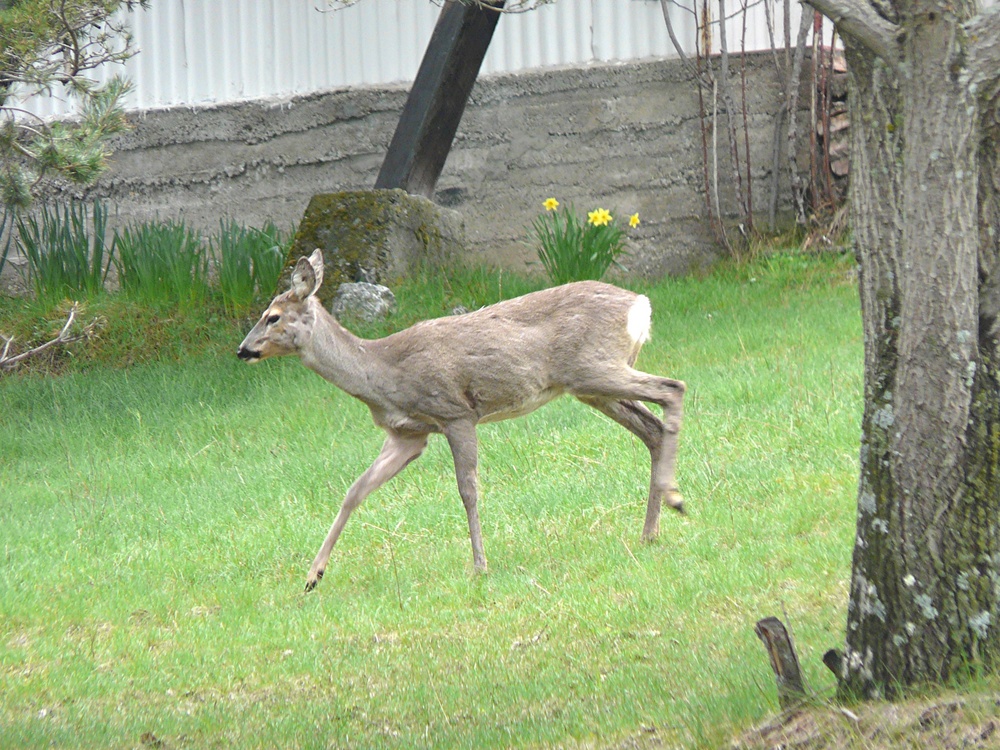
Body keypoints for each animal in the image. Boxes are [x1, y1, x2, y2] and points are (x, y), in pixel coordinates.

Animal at [238, 250, 684, 592]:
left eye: (272, 316)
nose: (243, 350)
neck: (381, 373)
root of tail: (640, 304)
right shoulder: (408, 435)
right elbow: (356, 490)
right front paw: (313, 576)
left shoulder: (455, 412)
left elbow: (468, 490)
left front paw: (480, 566)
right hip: (592, 386)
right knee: (653, 428)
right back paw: (650, 531)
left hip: (593, 367)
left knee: (672, 388)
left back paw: (675, 499)